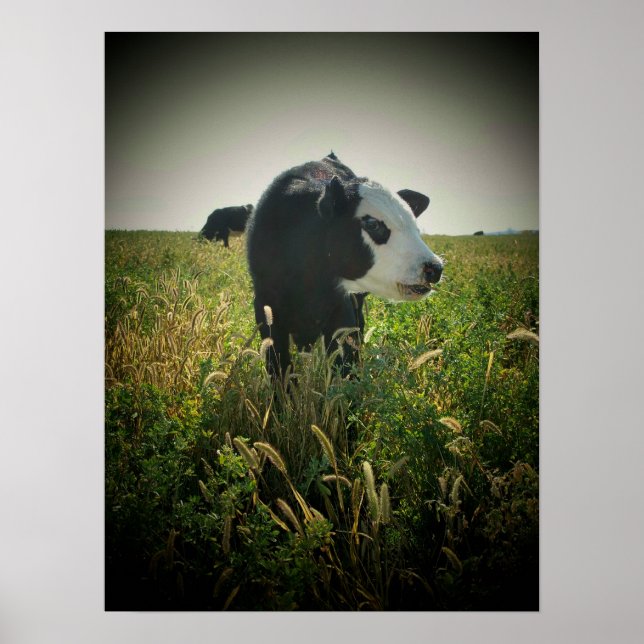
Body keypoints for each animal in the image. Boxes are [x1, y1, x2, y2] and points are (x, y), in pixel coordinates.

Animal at [246, 152, 443, 380]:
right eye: (373, 224)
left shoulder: (342, 310)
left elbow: (344, 371)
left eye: (415, 226)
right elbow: (279, 372)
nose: (435, 268)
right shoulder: (266, 310)